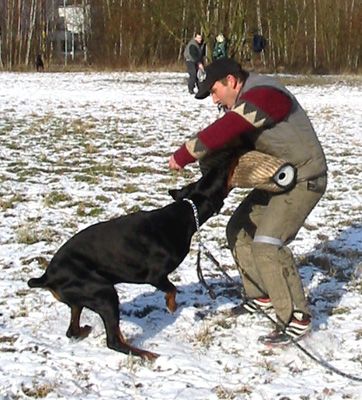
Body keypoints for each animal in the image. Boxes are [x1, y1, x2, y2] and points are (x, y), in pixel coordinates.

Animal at [29, 162, 235, 360]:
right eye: (219, 179)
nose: (218, 164)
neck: (185, 213)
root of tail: (47, 277)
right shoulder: (155, 275)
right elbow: (172, 289)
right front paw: (171, 306)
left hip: (80, 298)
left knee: (73, 330)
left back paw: (85, 330)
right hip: (103, 293)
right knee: (113, 341)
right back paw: (146, 354)